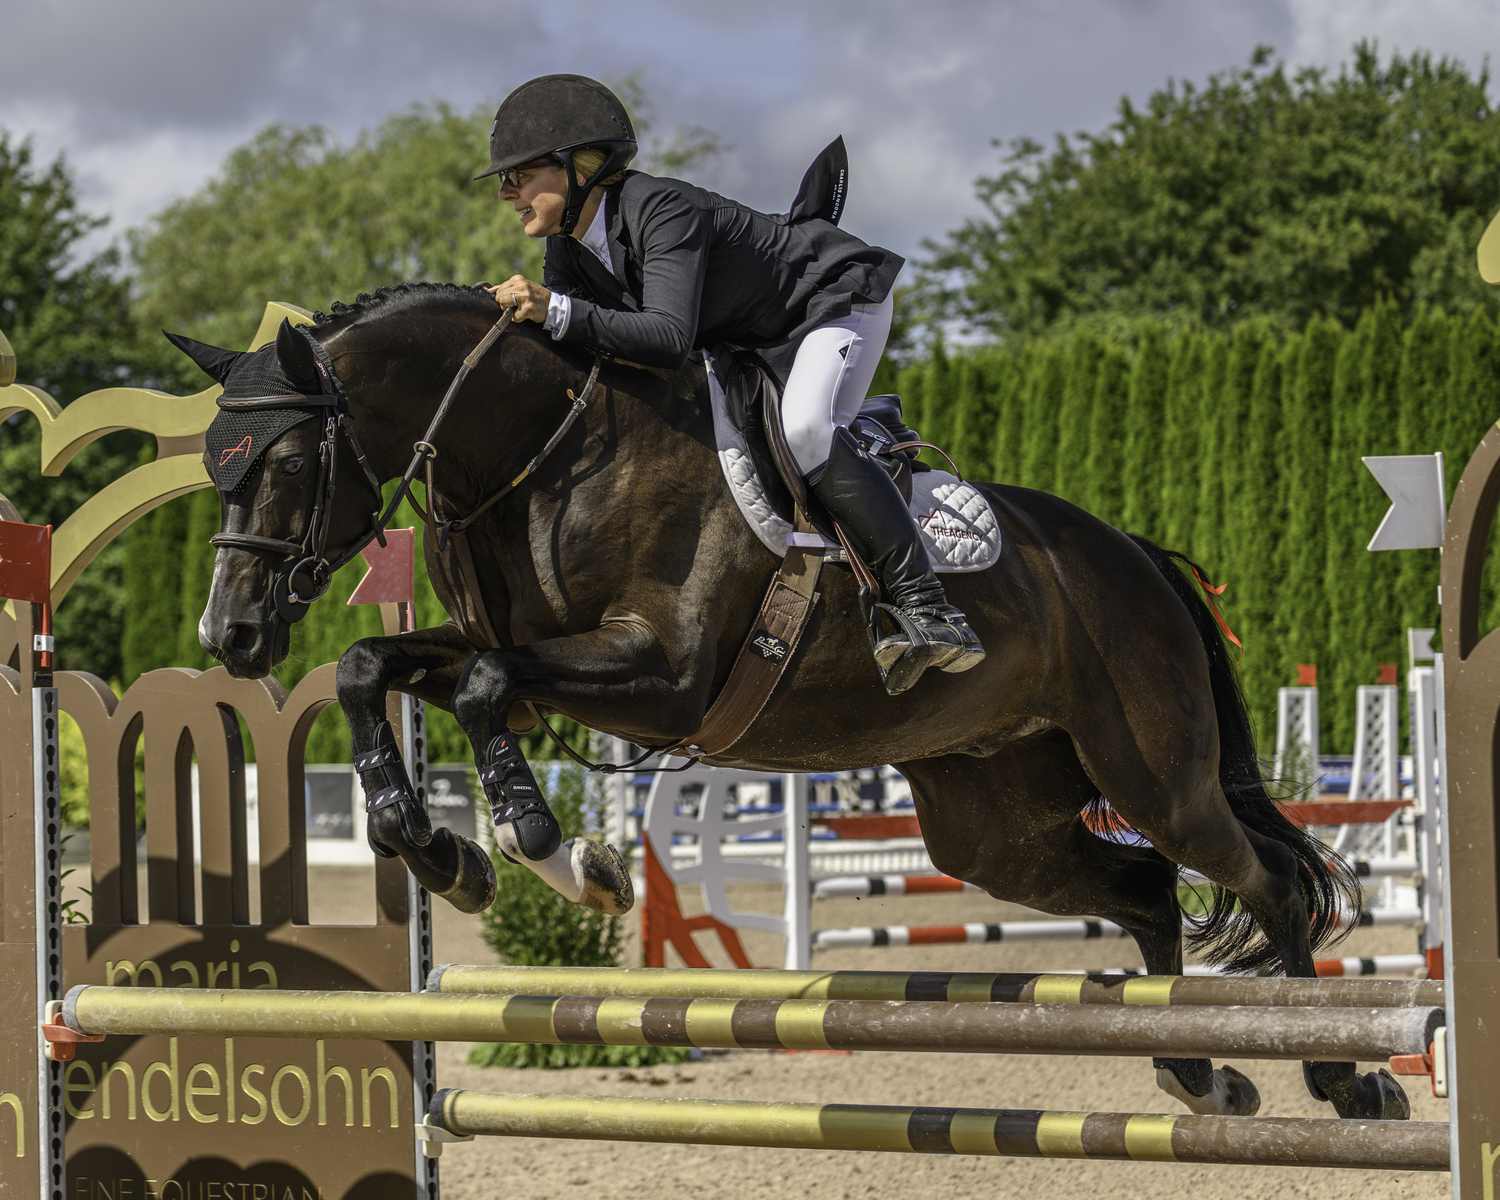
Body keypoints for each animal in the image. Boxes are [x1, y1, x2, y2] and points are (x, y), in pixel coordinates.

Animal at [187, 283, 1404, 1128]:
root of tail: (1136, 555)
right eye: (216, 469)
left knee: (1265, 880)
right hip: (995, 822)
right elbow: (368, 668)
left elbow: (485, 694)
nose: (228, 637)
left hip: (1153, 774)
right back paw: (1198, 1074)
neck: (540, 447)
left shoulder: (660, 675)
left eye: (285, 461)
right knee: (1149, 892)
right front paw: (440, 854)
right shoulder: (517, 662)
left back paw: (1344, 1081)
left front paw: (561, 857)